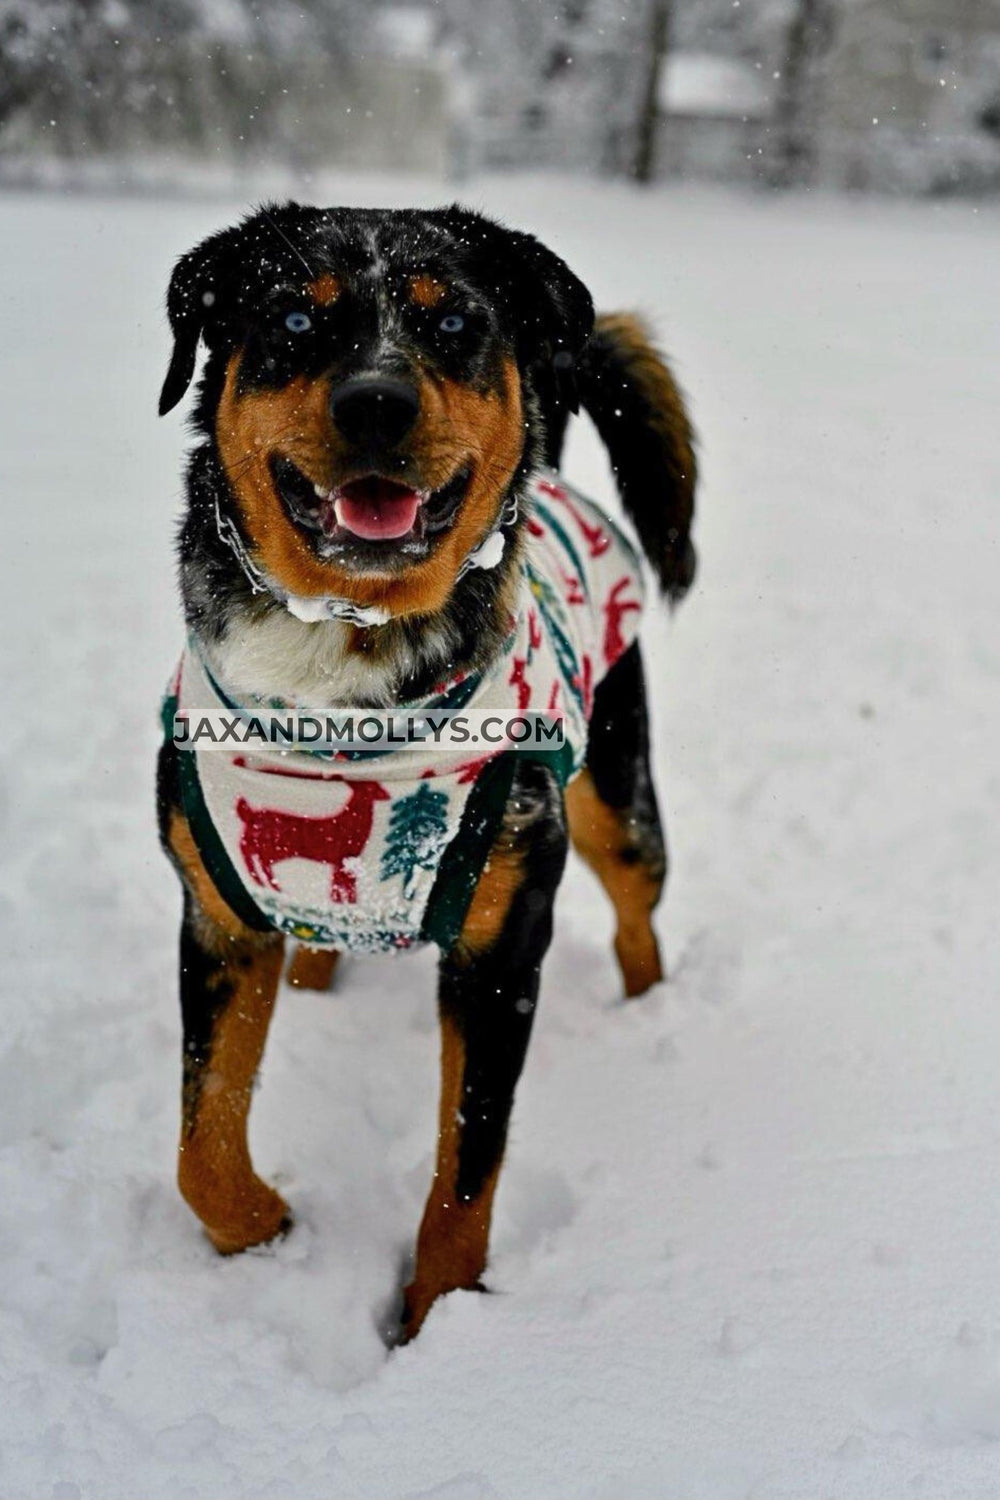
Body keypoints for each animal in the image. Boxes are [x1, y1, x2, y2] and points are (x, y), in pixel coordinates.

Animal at [156, 199, 695, 1338]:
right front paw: (264, 1230)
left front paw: (437, 1325)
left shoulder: (500, 950)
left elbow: (465, 1174)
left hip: (616, 800)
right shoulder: (216, 915)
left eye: (453, 323)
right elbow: (201, 1146)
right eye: (292, 317)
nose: (375, 401)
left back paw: (642, 1014)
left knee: (638, 915)